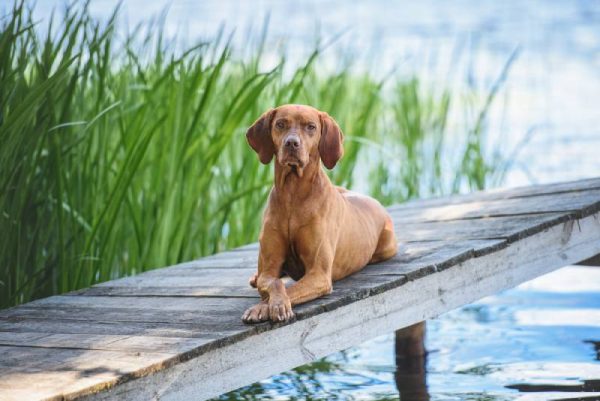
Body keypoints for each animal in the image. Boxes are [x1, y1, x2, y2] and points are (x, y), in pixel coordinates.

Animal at [239, 104, 398, 322]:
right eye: (280, 124)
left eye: (311, 127)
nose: (292, 143)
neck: (293, 194)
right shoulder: (268, 268)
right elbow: (273, 282)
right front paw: (269, 303)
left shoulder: (319, 274)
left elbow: (291, 289)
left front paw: (267, 306)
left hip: (386, 248)